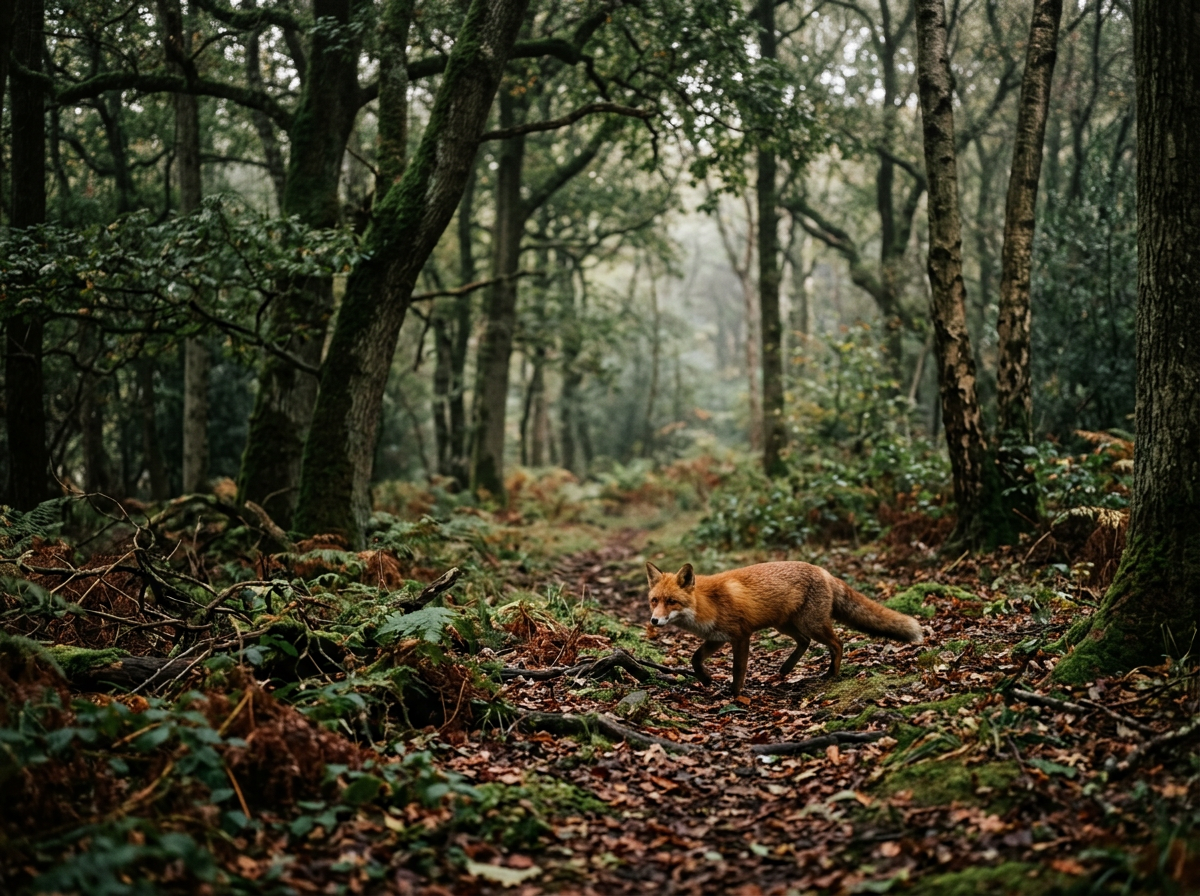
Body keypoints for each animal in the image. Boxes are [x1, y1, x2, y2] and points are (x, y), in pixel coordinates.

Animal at [646, 560, 924, 696]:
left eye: (671, 601)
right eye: (654, 601)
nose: (654, 621)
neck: (708, 603)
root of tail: (823, 570)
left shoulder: (741, 636)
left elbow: (738, 670)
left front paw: (734, 694)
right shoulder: (717, 638)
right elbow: (695, 659)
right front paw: (705, 679)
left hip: (810, 624)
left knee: (837, 643)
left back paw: (831, 674)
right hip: (786, 625)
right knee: (804, 642)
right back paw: (786, 669)